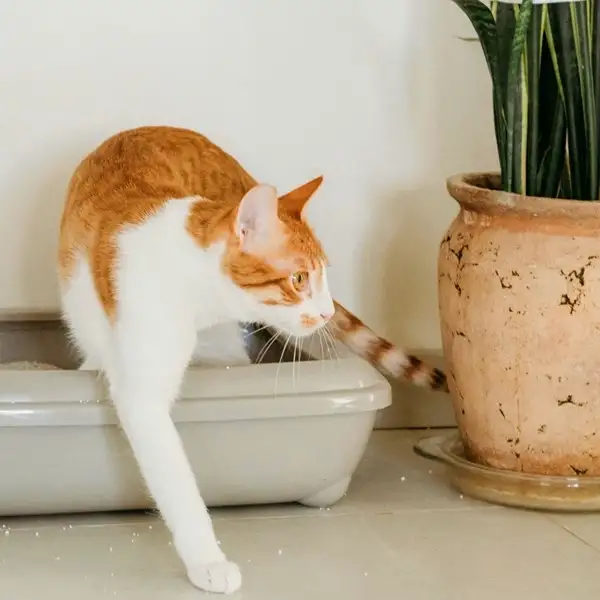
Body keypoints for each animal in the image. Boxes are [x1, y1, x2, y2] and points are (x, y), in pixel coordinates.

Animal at [58, 126, 446, 596]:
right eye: (299, 279)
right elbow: (177, 481)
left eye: (324, 276)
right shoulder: (140, 394)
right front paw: (207, 559)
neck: (190, 285)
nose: (326, 312)